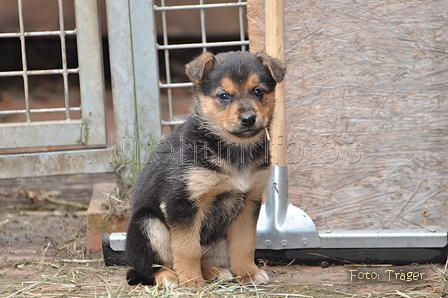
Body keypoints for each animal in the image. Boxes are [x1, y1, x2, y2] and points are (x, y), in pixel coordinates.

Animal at [124, 50, 286, 288]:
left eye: (258, 91)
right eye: (223, 96)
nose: (248, 119)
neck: (231, 148)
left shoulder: (249, 201)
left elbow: (245, 242)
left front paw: (248, 273)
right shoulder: (181, 202)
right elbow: (187, 248)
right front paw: (191, 282)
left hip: (218, 242)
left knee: (206, 258)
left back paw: (215, 272)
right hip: (149, 225)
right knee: (152, 268)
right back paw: (171, 278)